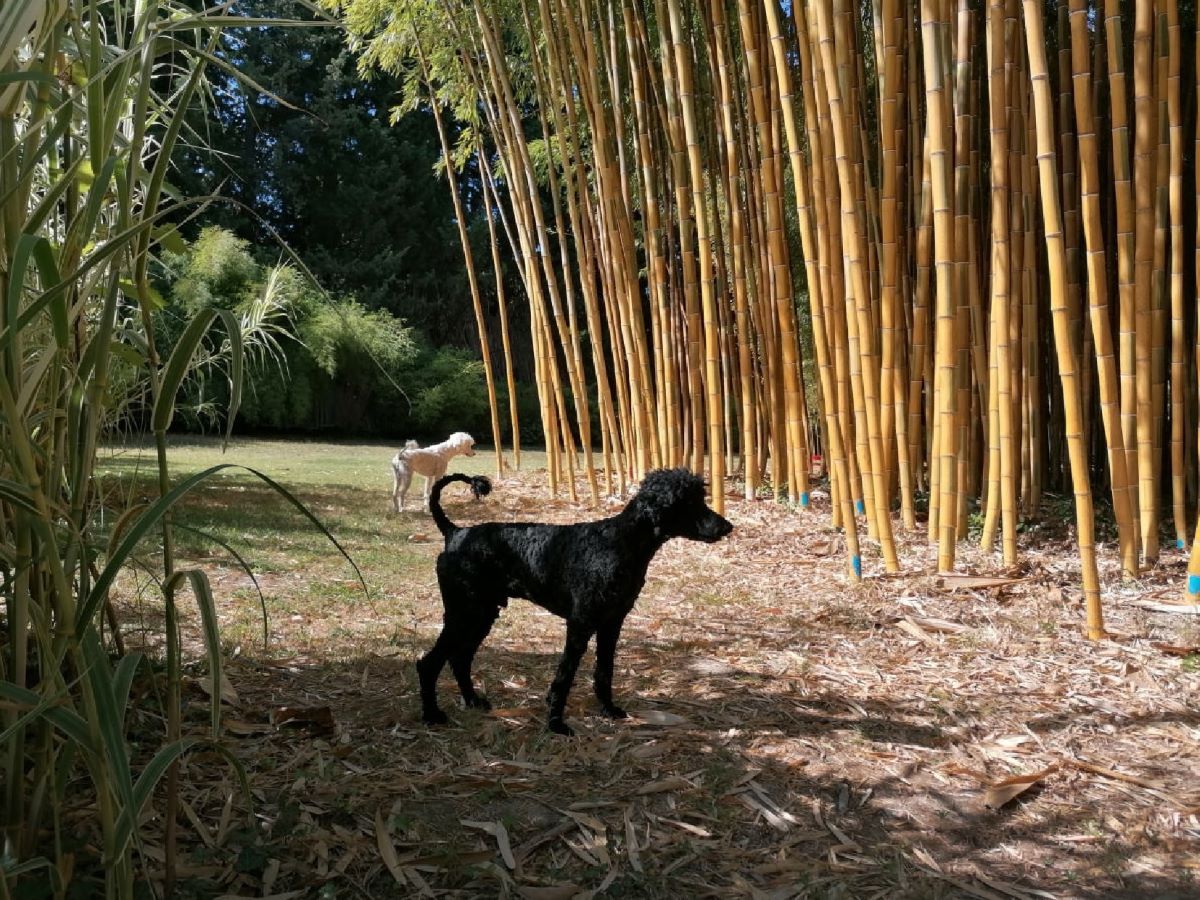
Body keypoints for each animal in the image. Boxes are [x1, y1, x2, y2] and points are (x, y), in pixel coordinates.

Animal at [412, 468, 729, 734]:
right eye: (688, 502)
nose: (727, 527)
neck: (620, 541)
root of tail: (455, 532)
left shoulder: (611, 623)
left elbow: (604, 672)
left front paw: (608, 710)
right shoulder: (580, 624)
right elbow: (565, 676)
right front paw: (555, 723)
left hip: (481, 614)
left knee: (459, 658)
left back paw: (472, 701)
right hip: (465, 613)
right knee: (429, 663)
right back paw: (432, 715)